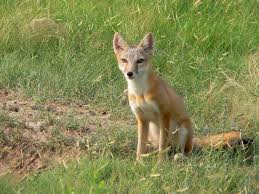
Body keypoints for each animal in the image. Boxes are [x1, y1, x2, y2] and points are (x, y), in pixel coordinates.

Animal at [113, 33, 193, 161]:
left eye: (140, 61)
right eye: (124, 60)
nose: (129, 73)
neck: (140, 93)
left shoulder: (164, 115)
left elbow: (162, 145)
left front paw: (160, 163)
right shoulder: (141, 119)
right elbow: (140, 146)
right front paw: (138, 162)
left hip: (183, 130)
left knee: (182, 151)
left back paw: (178, 156)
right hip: (151, 130)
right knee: (160, 147)